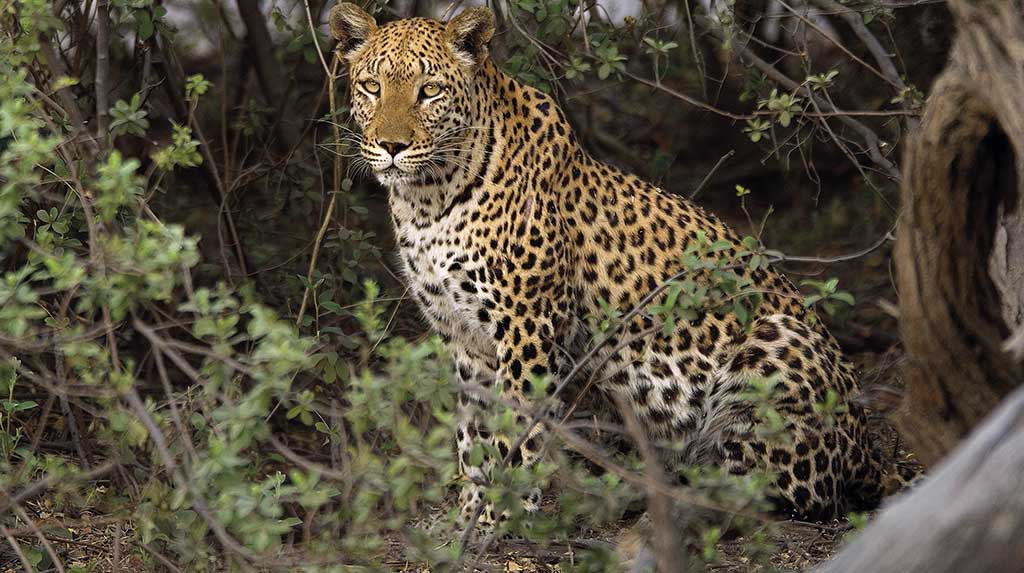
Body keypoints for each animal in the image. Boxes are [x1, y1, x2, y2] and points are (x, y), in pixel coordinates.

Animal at [325, 2, 913, 536]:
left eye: (429, 91)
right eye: (372, 87)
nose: (392, 147)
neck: (427, 198)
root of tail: (868, 450)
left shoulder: (528, 327)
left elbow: (516, 431)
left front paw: (499, 517)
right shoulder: (465, 338)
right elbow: (473, 433)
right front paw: (465, 516)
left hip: (775, 343)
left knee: (786, 492)